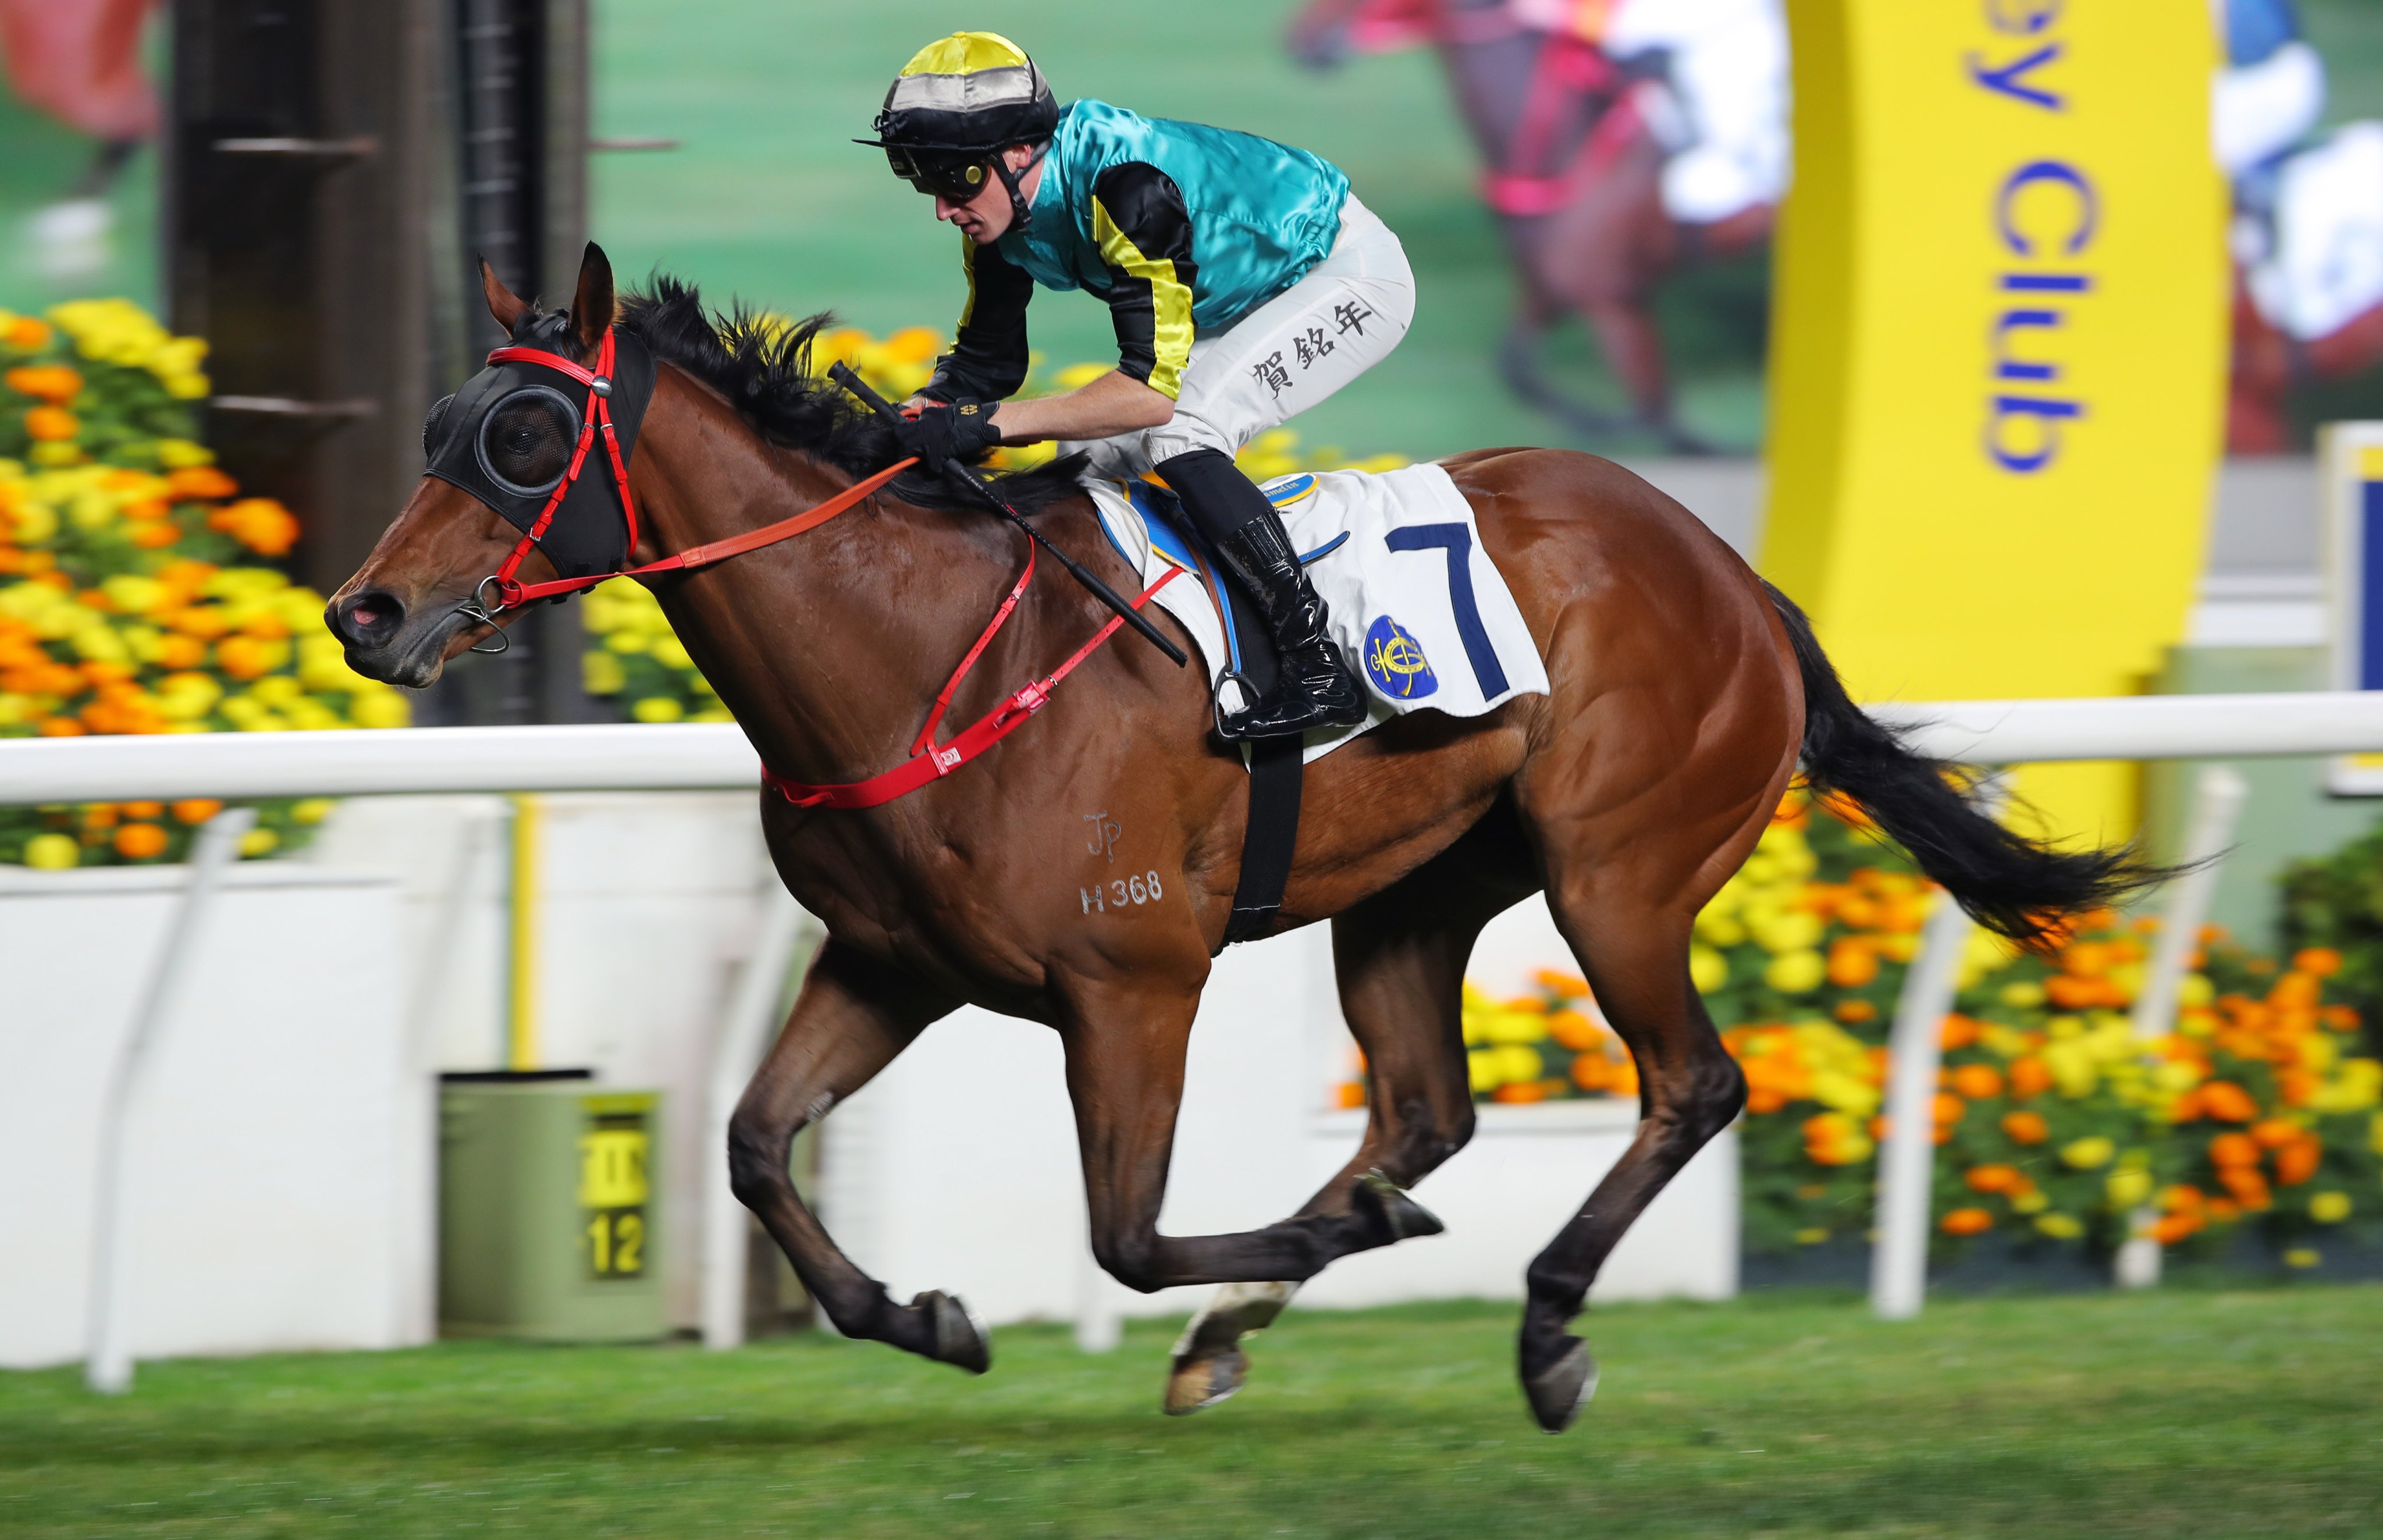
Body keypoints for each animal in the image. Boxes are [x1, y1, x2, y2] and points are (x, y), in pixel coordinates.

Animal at [331, 244, 2144, 1439]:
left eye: (522, 439)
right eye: (435, 426)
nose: (367, 612)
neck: (916, 652)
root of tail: (1733, 571)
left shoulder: (1132, 977)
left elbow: (1123, 1231)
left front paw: (1328, 1248)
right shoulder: (890, 961)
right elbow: (755, 1145)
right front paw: (927, 1314)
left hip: (1617, 868)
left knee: (1689, 1082)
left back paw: (1542, 1325)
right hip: (1417, 890)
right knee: (1425, 1109)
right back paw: (1254, 1316)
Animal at [1286, 0, 1773, 457]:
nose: (1300, 42)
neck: (1570, 148)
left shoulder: (1614, 300)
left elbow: (1659, 413)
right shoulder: (1554, 288)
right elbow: (1519, 369)